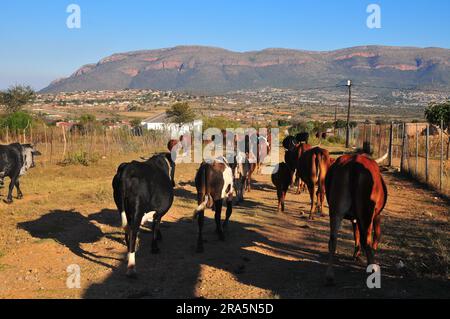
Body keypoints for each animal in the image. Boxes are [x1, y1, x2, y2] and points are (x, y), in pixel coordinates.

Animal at [326, 154, 388, 284]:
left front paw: (356, 253)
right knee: (367, 240)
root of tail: (354, 163)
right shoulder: (375, 215)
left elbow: (356, 233)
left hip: (336, 211)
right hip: (366, 214)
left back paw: (329, 275)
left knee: (333, 239)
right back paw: (372, 267)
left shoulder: (355, 218)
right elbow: (376, 234)